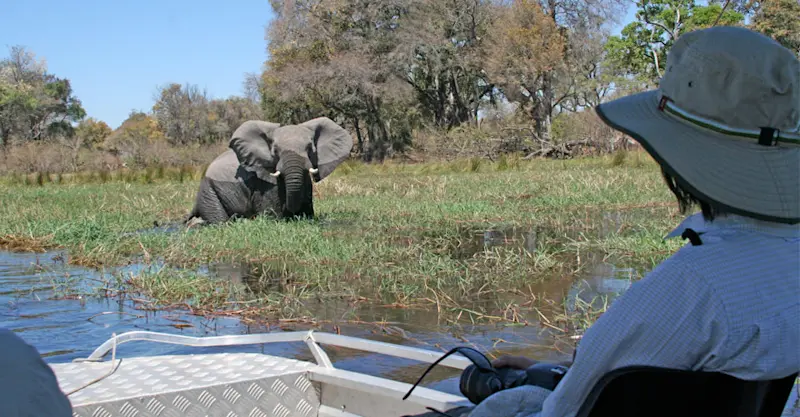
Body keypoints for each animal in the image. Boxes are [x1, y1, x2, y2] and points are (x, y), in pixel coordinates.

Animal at [184, 117, 353, 225]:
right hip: (209, 191)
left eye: (310, 149)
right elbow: (272, 215)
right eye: (275, 151)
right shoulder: (263, 182)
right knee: (219, 220)